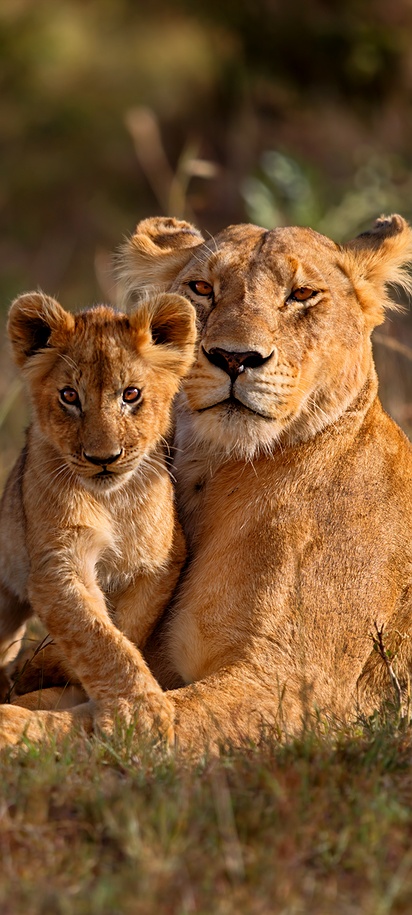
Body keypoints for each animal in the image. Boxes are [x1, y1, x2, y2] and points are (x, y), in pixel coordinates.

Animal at [0, 290, 196, 738]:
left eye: (131, 394)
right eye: (70, 396)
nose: (103, 458)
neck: (111, 501)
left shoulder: (161, 560)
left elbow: (126, 629)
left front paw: (50, 668)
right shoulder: (57, 564)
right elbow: (97, 636)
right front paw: (139, 713)